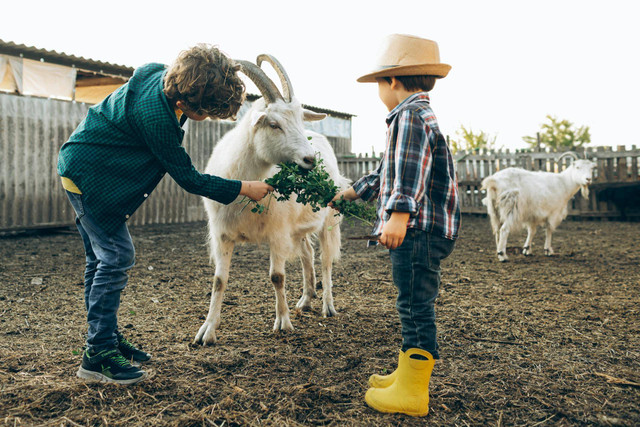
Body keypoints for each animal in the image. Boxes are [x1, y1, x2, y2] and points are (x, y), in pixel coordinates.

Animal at [194, 55, 350, 346]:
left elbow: (277, 276)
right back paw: (305, 300)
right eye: (274, 124)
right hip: (298, 228)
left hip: (328, 219)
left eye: (300, 119)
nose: (309, 161)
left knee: (325, 261)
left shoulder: (278, 233)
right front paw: (207, 331)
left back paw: (327, 306)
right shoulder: (222, 235)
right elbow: (219, 280)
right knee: (307, 253)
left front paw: (283, 323)